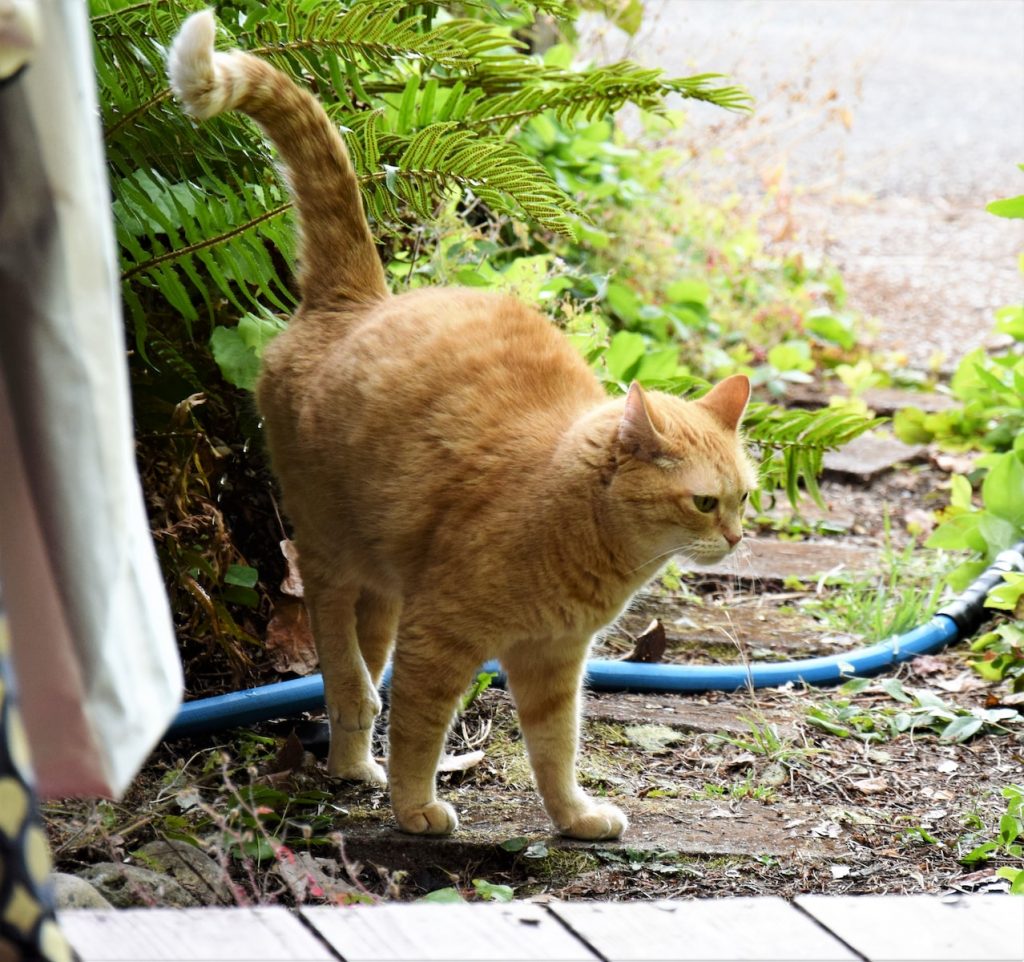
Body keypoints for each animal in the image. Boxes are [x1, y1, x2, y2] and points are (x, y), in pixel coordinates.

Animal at [169, 7, 761, 840]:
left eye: (745, 498)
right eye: (705, 503)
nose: (736, 539)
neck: (574, 525)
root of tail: (363, 298)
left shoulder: (551, 662)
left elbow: (556, 746)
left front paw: (573, 817)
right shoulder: (440, 639)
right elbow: (422, 726)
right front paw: (416, 806)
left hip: (383, 581)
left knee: (361, 666)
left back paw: (352, 766)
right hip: (327, 548)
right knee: (345, 667)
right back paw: (358, 750)